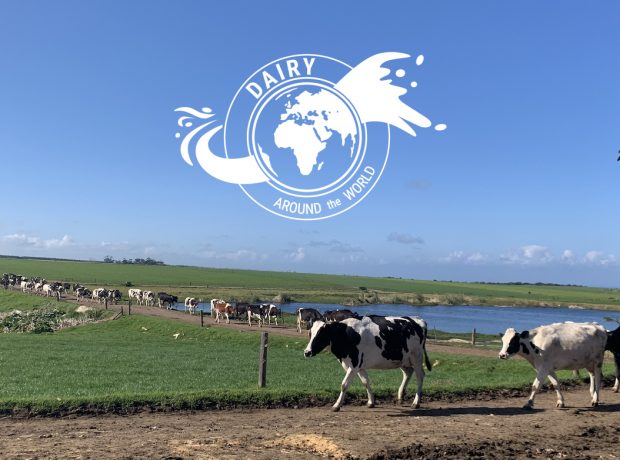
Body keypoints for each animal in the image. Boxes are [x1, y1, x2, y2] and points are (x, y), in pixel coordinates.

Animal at [304, 314, 432, 412]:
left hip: (417, 358)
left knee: (420, 376)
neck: (346, 334)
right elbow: (365, 382)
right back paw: (400, 396)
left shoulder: (354, 364)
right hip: (403, 360)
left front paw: (336, 405)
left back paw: (416, 402)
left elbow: (344, 384)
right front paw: (371, 402)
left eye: (321, 334)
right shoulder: (358, 366)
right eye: (310, 333)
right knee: (408, 373)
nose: (307, 352)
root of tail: (417, 319)